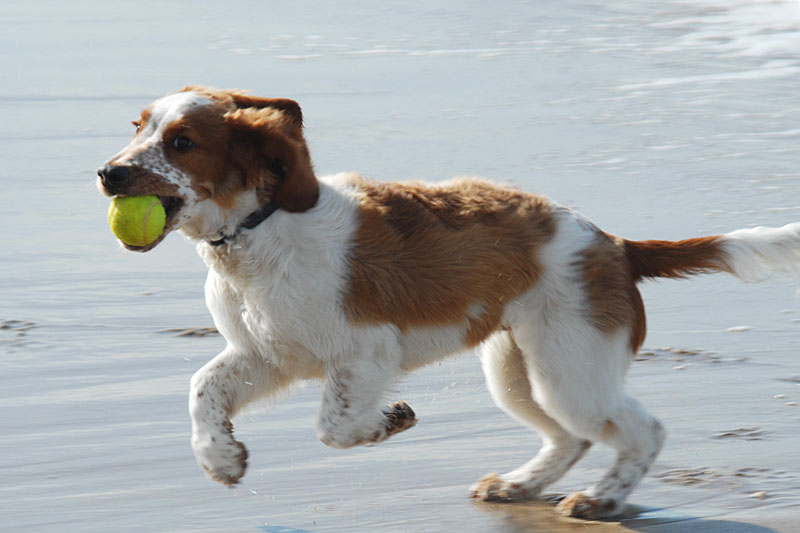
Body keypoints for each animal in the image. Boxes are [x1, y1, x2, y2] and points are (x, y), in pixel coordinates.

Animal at [98, 86, 800, 516]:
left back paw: (601, 500)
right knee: (570, 438)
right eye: (137, 128)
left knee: (641, 430)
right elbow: (203, 386)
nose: (108, 173)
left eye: (182, 142)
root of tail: (618, 246)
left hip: (570, 368)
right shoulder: (270, 353)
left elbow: (334, 426)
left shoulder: (364, 352)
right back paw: (519, 485)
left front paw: (388, 420)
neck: (257, 234)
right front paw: (220, 459)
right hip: (519, 370)